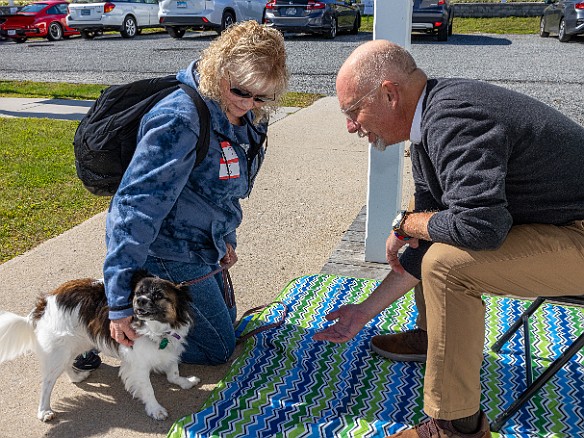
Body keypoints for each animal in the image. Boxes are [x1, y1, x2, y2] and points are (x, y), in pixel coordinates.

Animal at [0, 274, 200, 420]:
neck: (154, 329)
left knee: (67, 364)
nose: (141, 301)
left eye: (158, 295)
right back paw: (44, 411)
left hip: (77, 342)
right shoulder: (138, 364)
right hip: (60, 349)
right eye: (138, 294)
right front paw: (155, 409)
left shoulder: (171, 349)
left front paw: (184, 382)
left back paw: (76, 377)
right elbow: (148, 389)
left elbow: (173, 373)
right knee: (47, 382)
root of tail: (42, 305)